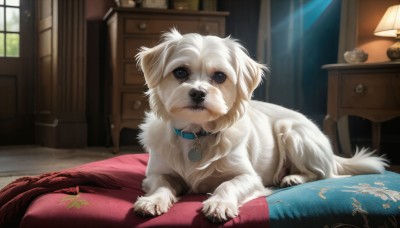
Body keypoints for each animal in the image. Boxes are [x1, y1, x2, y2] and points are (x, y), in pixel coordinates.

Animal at [134, 29, 388, 223]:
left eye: (219, 76)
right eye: (180, 72)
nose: (198, 92)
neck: (197, 133)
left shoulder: (248, 177)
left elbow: (227, 185)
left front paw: (219, 203)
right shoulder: (156, 173)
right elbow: (162, 185)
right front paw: (153, 200)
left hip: (292, 132)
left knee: (323, 174)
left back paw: (294, 178)